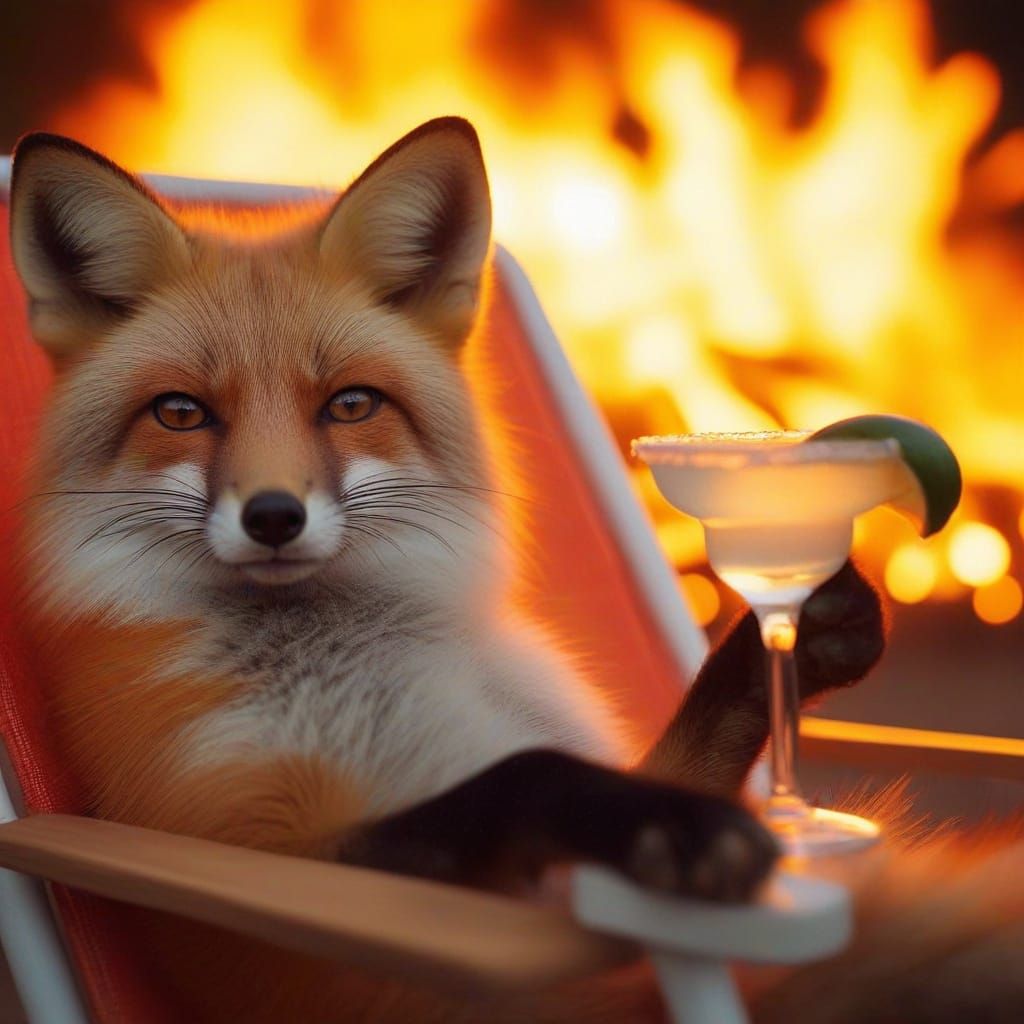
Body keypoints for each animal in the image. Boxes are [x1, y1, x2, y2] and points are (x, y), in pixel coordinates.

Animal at [7, 118, 1024, 1023]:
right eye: (180, 413)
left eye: (350, 405)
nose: (272, 518)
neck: (359, 679)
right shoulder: (273, 876)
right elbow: (524, 776)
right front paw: (671, 827)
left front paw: (800, 633)